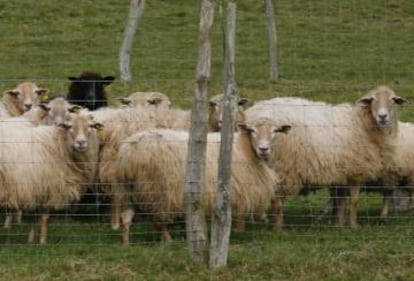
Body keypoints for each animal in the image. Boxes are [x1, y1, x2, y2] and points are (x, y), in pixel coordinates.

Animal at [0, 110, 103, 242]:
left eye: (91, 125)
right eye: (69, 126)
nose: (81, 143)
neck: (57, 145)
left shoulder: (37, 190)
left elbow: (35, 218)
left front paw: (31, 240)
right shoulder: (48, 188)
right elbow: (44, 218)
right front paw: (43, 241)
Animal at [103, 121, 282, 243]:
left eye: (275, 131)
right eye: (252, 131)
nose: (264, 149)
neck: (244, 148)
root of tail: (127, 153)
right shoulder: (235, 189)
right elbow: (235, 215)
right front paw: (235, 232)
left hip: (129, 188)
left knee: (126, 217)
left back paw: (126, 242)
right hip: (155, 188)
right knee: (156, 219)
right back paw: (168, 240)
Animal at [244, 86, 406, 230]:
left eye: (393, 100)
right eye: (372, 100)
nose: (382, 117)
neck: (362, 123)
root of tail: (252, 112)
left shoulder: (340, 173)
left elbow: (339, 201)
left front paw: (337, 224)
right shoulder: (355, 170)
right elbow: (353, 200)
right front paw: (353, 225)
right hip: (282, 166)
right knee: (277, 201)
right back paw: (276, 228)